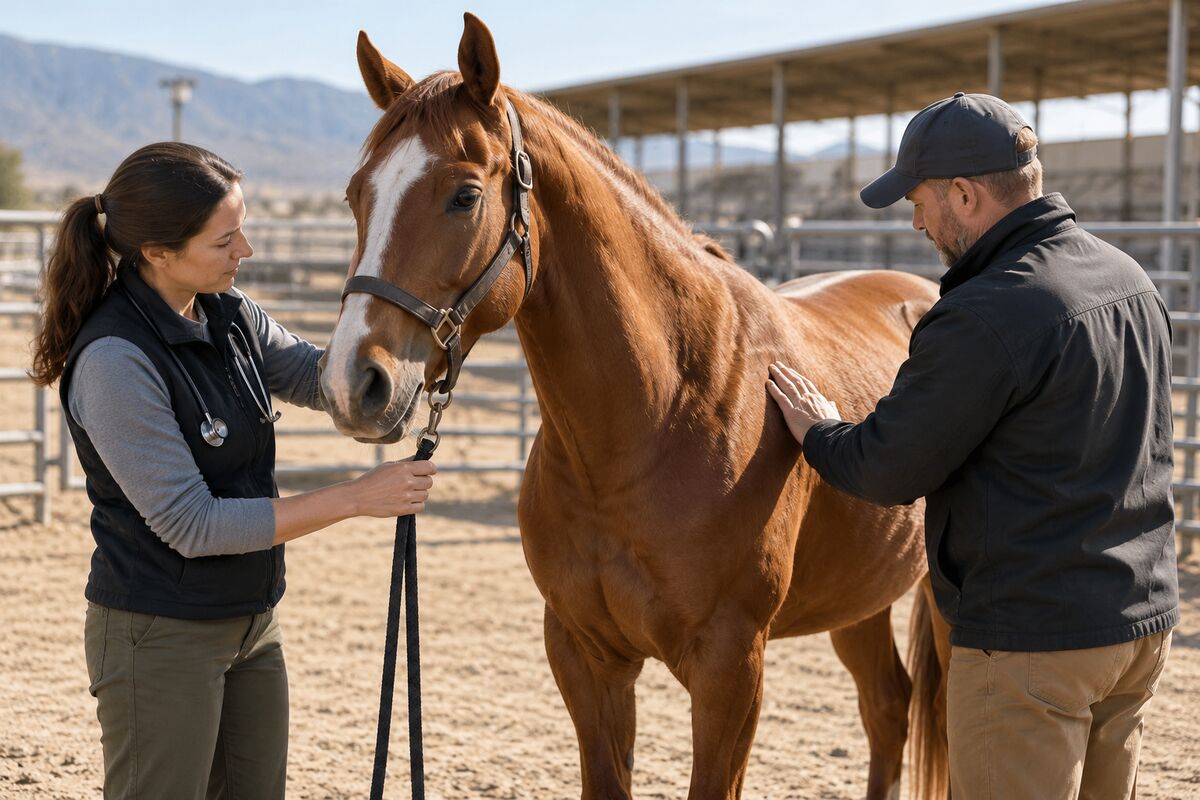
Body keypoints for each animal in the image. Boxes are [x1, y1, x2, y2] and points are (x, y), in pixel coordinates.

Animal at [318, 14, 950, 799]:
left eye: (464, 196)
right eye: (357, 195)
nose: (353, 382)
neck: (659, 418)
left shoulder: (730, 669)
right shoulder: (585, 656)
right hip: (857, 596)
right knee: (888, 708)